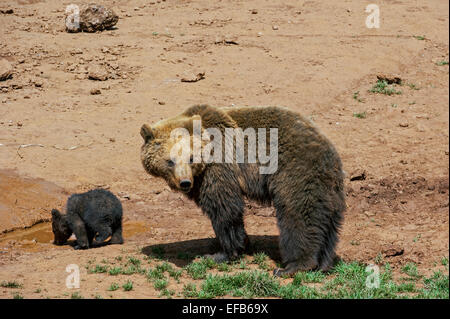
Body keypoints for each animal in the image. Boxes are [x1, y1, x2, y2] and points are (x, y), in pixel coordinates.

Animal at [141, 105, 344, 278]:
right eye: (170, 161)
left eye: (191, 158)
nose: (184, 182)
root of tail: (329, 152)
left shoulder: (221, 165)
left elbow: (224, 208)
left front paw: (222, 253)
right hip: (330, 189)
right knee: (327, 223)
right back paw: (323, 264)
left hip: (295, 172)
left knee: (297, 214)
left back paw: (292, 266)